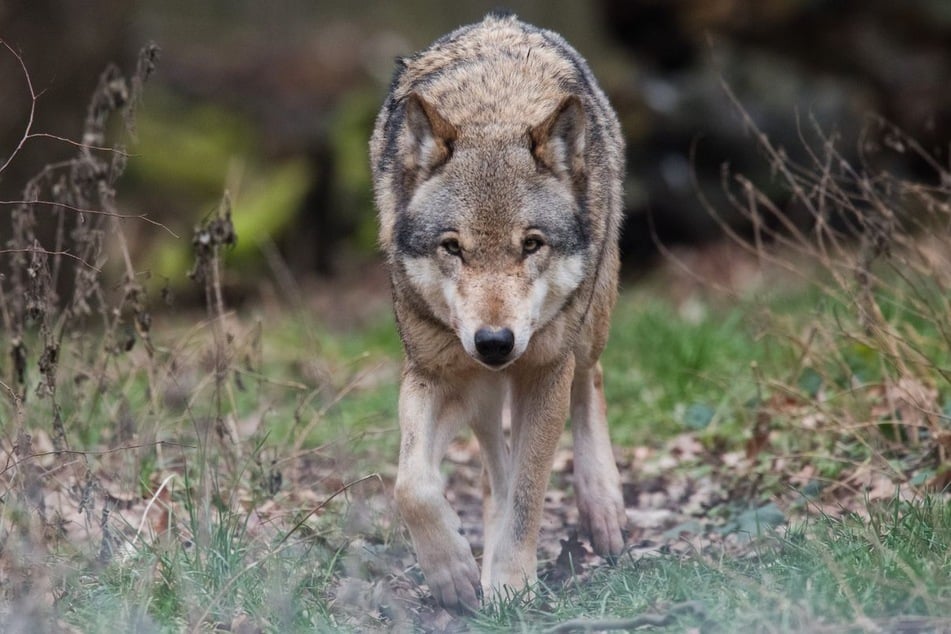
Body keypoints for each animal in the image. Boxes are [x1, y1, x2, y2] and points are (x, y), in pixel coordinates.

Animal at [370, 12, 626, 610]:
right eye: (453, 247)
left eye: (531, 244)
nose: (494, 342)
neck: (494, 111)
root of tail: (501, 20)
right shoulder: (435, 372)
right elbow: (411, 486)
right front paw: (454, 574)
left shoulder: (544, 372)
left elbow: (530, 495)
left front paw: (509, 583)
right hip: (480, 389)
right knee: (493, 462)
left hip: (586, 328)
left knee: (591, 380)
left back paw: (603, 510)